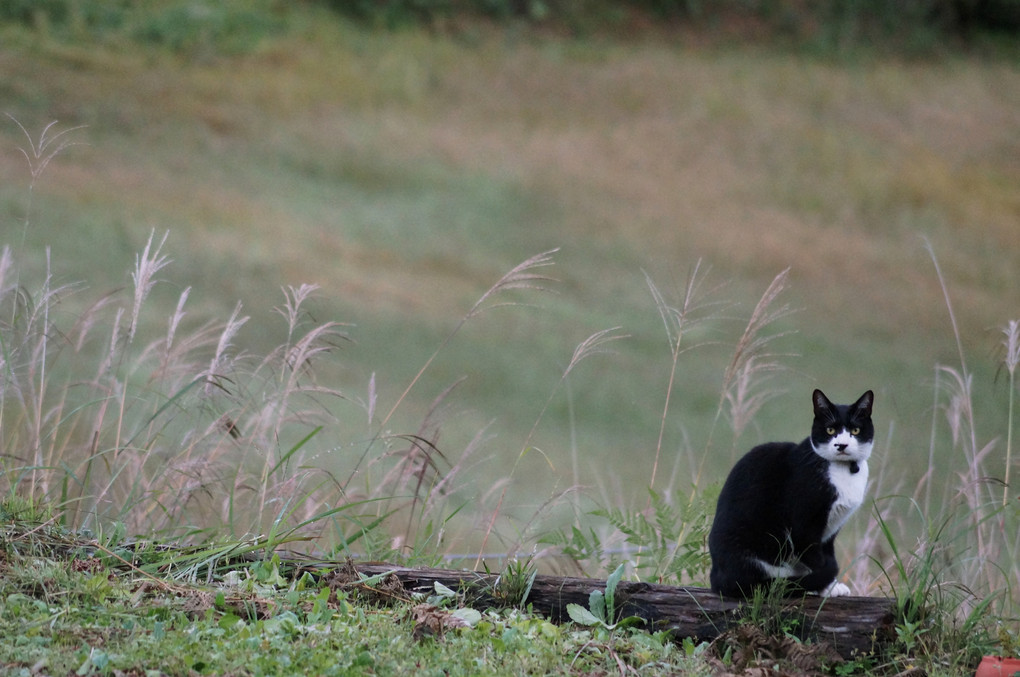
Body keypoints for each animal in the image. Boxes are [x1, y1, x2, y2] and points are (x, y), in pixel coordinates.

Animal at [709, 389, 877, 599]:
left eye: (855, 430)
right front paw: (829, 587)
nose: (842, 445)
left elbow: (825, 554)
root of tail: (716, 578)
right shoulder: (804, 525)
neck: (845, 471)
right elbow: (818, 559)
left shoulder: (831, 530)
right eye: (830, 430)